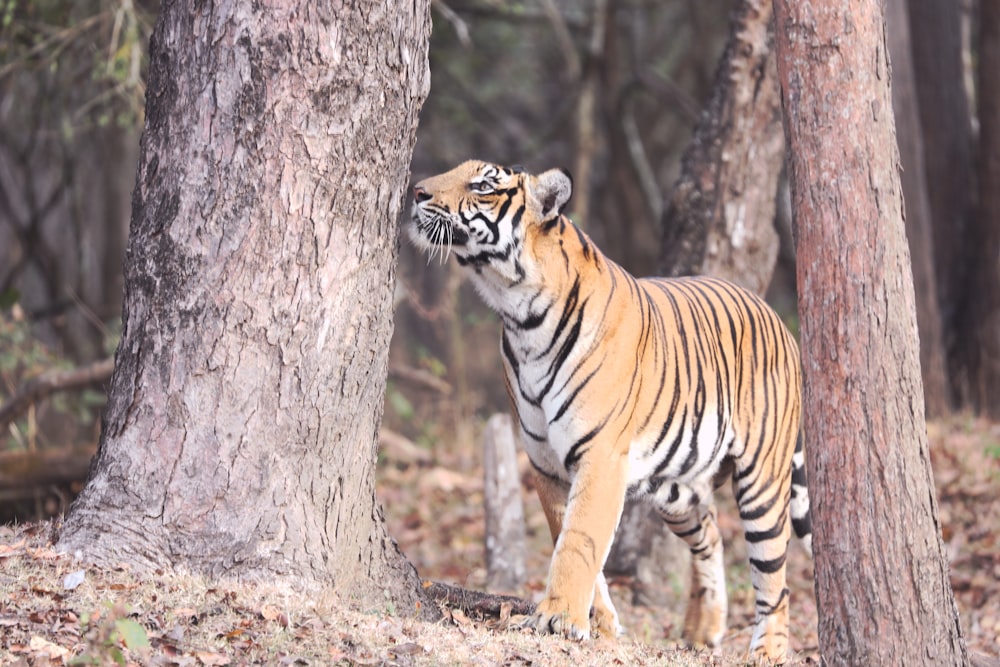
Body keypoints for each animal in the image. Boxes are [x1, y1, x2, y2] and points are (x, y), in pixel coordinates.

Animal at [406, 158, 812, 664]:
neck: (518, 316)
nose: (416, 192)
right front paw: (597, 624)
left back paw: (767, 651)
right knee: (712, 534)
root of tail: (776, 317)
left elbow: (580, 540)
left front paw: (559, 619)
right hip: (676, 489)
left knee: (775, 577)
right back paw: (703, 629)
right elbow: (568, 536)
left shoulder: (599, 456)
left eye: (482, 185)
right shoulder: (546, 464)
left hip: (763, 479)